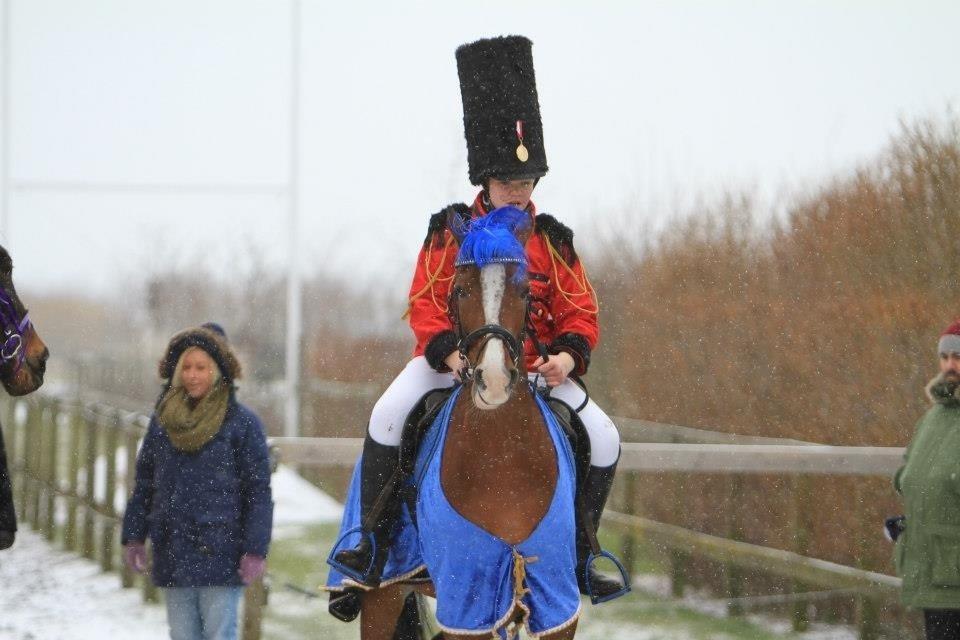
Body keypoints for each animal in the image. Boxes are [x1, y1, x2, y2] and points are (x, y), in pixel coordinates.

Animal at [354, 209, 572, 640]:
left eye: (525, 291)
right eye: (458, 290)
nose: (495, 379)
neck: (502, 457)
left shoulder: (556, 596)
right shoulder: (468, 596)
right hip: (382, 596)